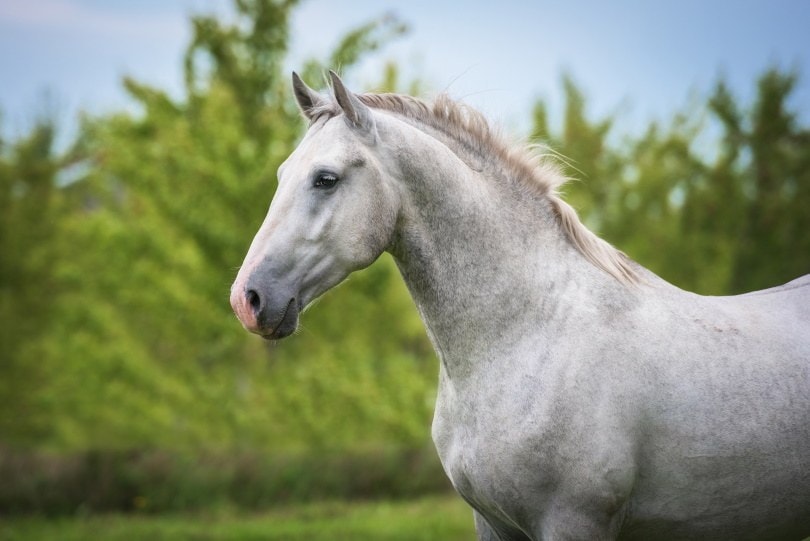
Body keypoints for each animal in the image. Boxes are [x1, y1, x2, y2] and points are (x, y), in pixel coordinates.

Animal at [229, 71, 808, 540]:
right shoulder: (493, 522)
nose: (246, 300)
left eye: (325, 178)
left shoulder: (572, 521)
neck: (526, 337)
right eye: (281, 175)